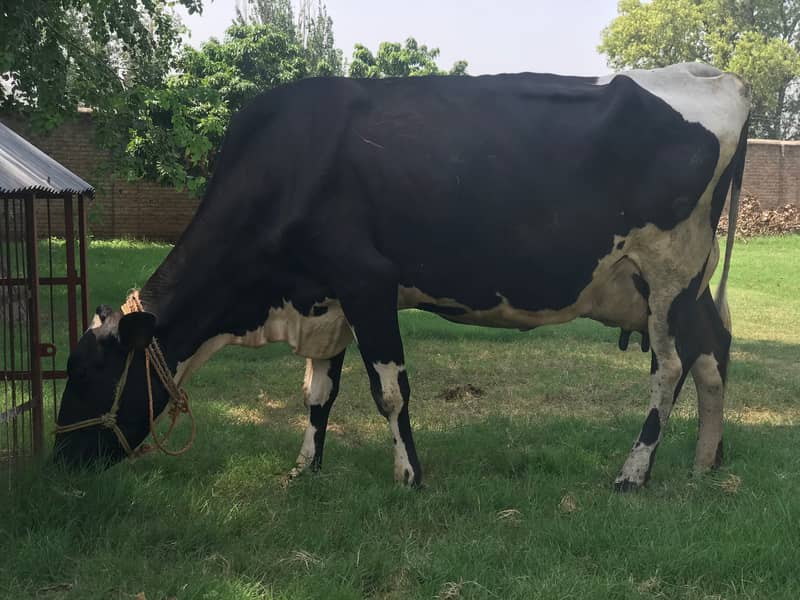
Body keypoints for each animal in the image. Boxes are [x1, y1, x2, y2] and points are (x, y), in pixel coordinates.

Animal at [54, 63, 752, 490]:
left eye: (86, 373)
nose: (59, 459)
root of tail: (715, 75)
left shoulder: (367, 281)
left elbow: (389, 390)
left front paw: (409, 475)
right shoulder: (326, 298)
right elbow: (318, 393)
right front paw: (304, 469)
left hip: (666, 271)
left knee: (668, 368)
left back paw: (634, 472)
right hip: (681, 287)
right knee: (712, 352)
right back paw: (706, 462)